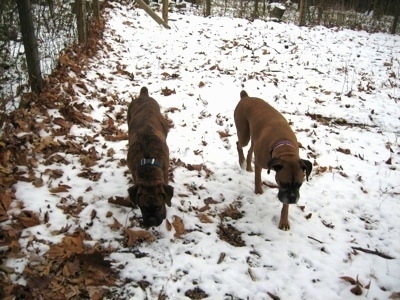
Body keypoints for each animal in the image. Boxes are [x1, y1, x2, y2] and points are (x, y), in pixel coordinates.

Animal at [234, 90, 312, 231]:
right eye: (283, 183)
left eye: (299, 184)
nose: (292, 199)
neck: (283, 146)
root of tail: (246, 97)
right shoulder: (260, 164)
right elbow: (258, 178)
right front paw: (259, 191)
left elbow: (285, 206)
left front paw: (284, 221)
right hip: (244, 134)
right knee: (239, 144)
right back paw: (241, 161)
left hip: (253, 138)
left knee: (250, 151)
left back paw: (248, 167)